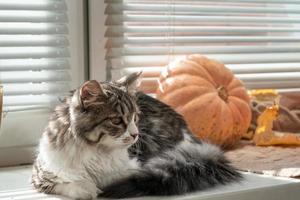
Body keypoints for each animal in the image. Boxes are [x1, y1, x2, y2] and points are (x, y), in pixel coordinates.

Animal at [31, 72, 241, 199]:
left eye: (135, 117)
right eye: (117, 120)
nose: (135, 134)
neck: (97, 151)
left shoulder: (134, 166)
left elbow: (118, 177)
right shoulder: (44, 174)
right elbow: (73, 185)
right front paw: (89, 188)